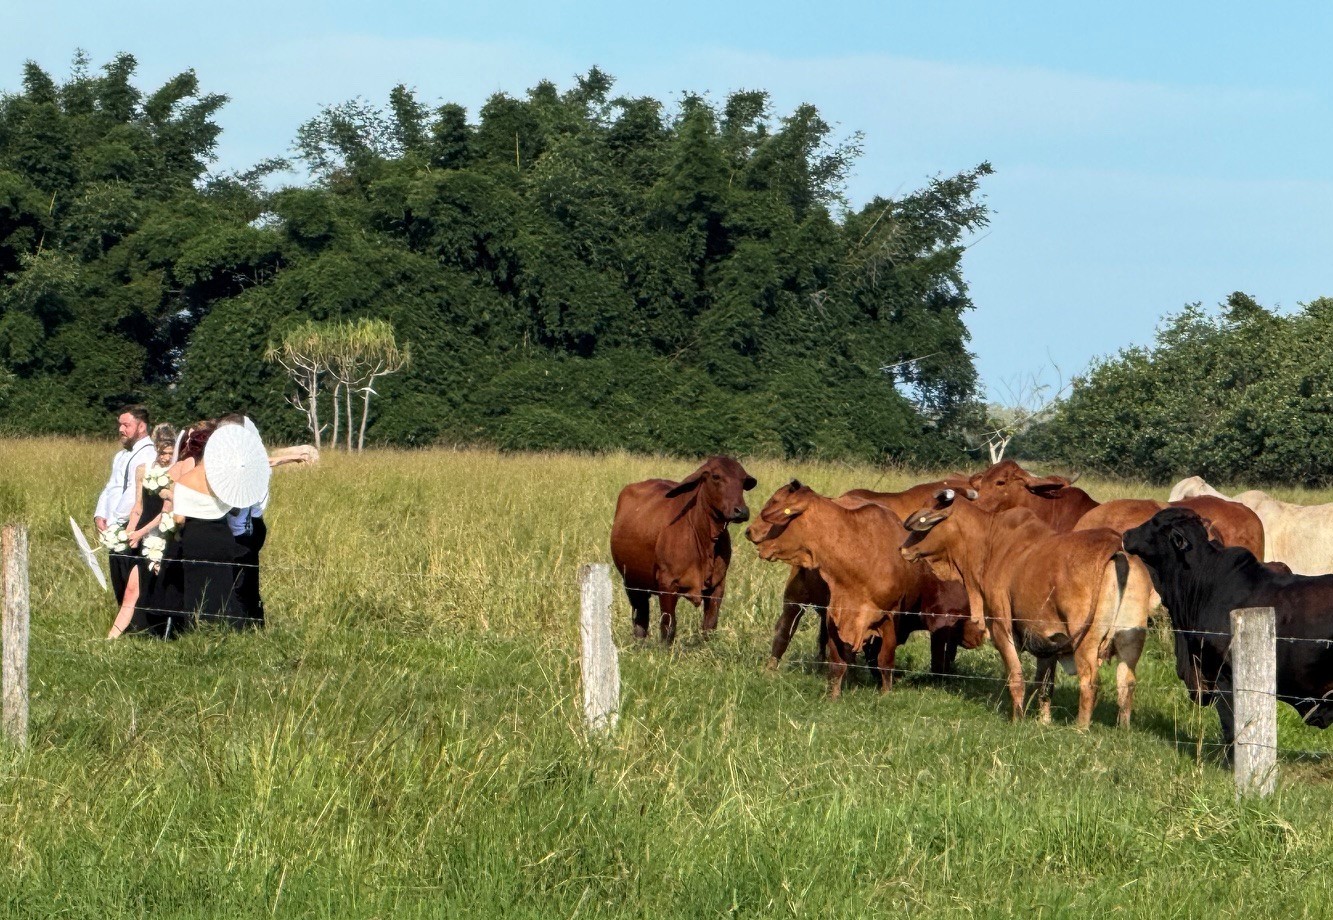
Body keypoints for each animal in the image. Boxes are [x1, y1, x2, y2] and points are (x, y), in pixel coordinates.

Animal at [610, 456, 756, 644]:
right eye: (716, 476)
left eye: (743, 480)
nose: (741, 511)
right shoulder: (667, 584)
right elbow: (668, 626)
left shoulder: (718, 585)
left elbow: (709, 626)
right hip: (632, 583)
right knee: (640, 618)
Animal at [744, 481, 984, 698]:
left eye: (774, 502)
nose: (749, 531)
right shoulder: (838, 617)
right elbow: (842, 660)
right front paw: (835, 695)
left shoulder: (886, 618)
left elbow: (882, 660)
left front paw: (883, 692)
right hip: (793, 601)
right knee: (783, 634)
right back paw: (770, 671)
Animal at [901, 489, 1153, 727]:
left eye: (924, 523)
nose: (902, 549)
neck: (990, 542)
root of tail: (1115, 546)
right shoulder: (1049, 638)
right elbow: (1045, 684)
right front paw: (1044, 721)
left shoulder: (1002, 628)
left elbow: (1016, 676)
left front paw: (1017, 719)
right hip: (1130, 638)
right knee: (1127, 682)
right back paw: (1123, 728)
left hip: (1086, 641)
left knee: (1090, 681)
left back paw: (1080, 728)